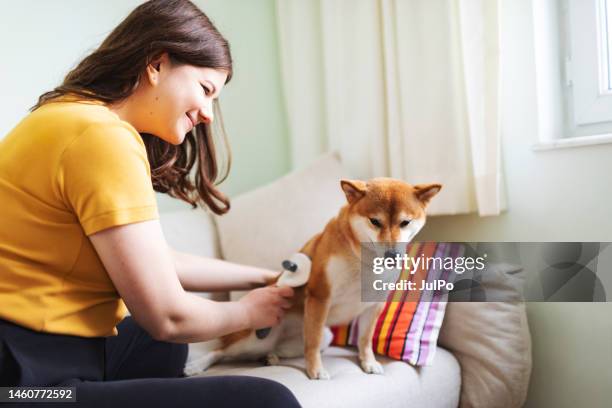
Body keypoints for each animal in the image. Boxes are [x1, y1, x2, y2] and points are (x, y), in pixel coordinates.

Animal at [184, 178, 442, 380]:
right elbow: (314, 342)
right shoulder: (320, 296)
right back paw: (197, 365)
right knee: (222, 351)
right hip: (254, 339)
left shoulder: (374, 305)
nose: (392, 256)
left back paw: (271, 357)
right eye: (375, 221)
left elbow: (365, 339)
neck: (363, 263)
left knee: (282, 348)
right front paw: (316, 371)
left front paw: (369, 362)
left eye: (405, 222)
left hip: (315, 337)